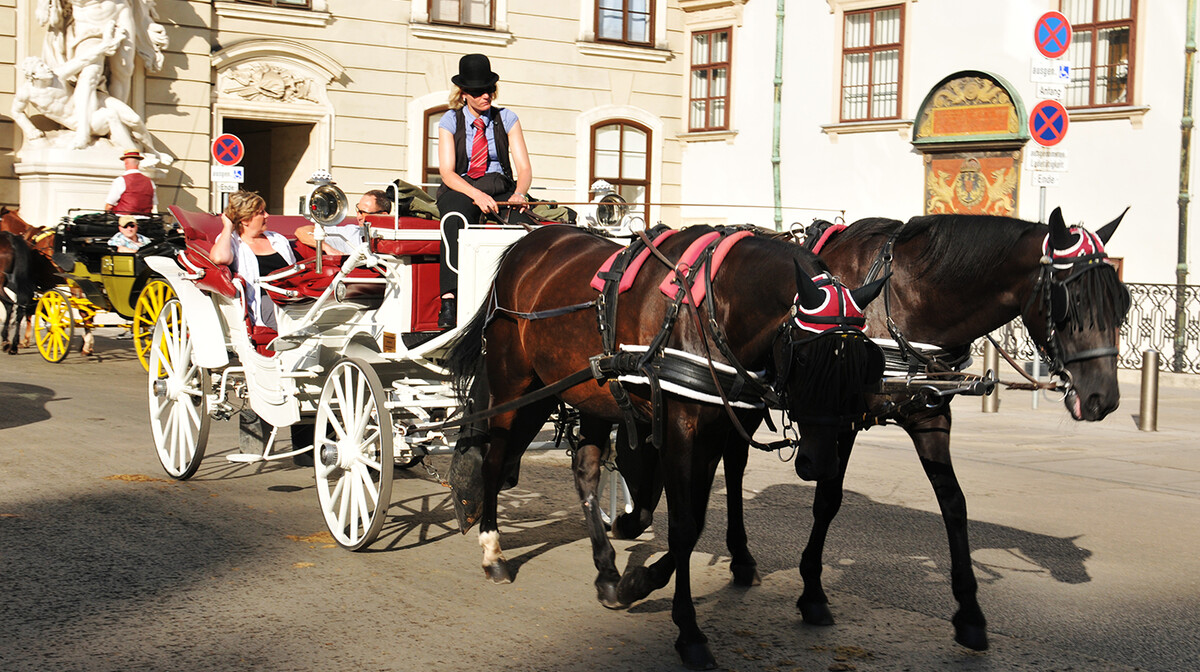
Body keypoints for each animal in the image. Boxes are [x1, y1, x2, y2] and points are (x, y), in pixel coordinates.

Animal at [446, 224, 888, 667]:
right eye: (805, 360)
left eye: (863, 365)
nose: (822, 464)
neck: (713, 308)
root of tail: (530, 242)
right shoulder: (681, 430)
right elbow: (682, 528)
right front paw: (688, 630)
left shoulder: (712, 434)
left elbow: (695, 524)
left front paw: (636, 582)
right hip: (515, 383)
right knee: (494, 460)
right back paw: (493, 552)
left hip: (586, 393)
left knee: (584, 474)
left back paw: (607, 572)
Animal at [614, 207, 1128, 652]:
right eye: (1070, 300)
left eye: (1121, 302)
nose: (1103, 399)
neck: (906, 296)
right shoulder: (841, 420)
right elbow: (827, 499)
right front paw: (812, 591)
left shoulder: (929, 414)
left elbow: (953, 503)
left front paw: (969, 611)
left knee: (733, 463)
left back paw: (735, 556)